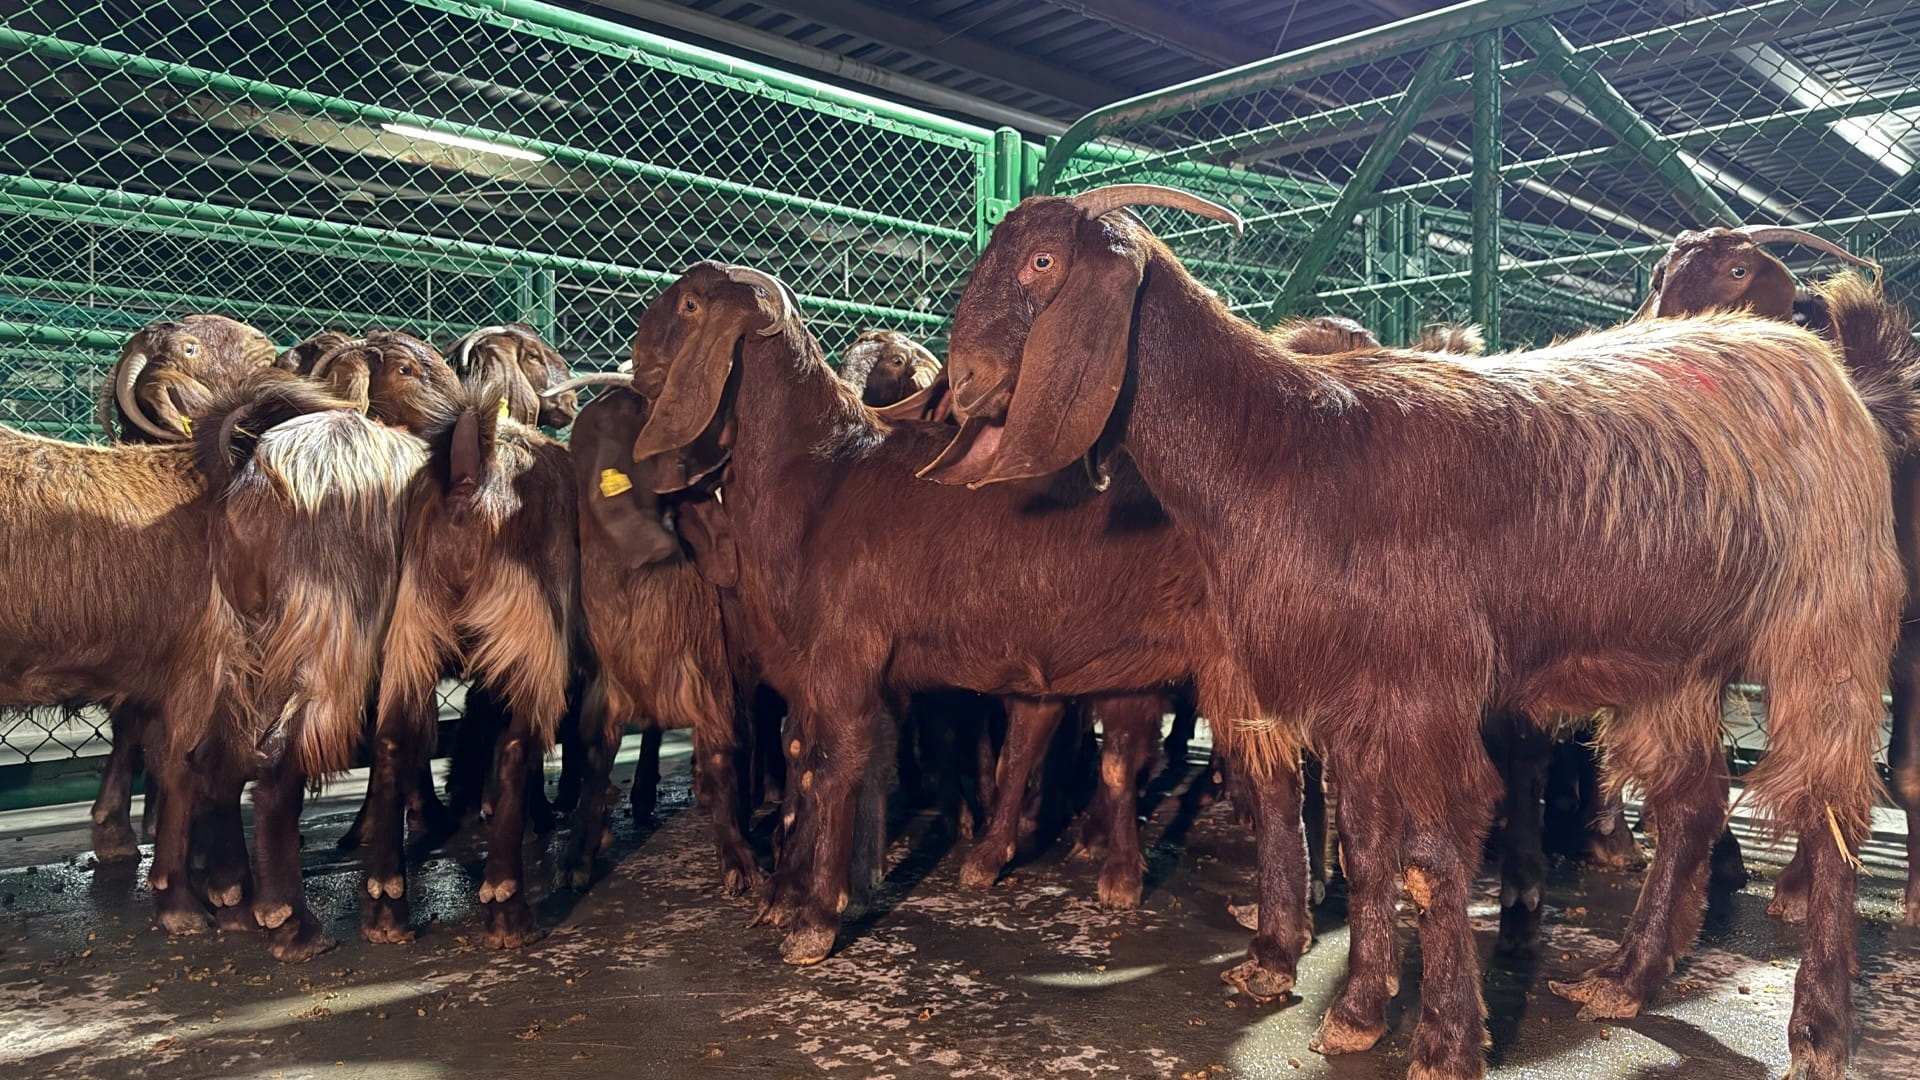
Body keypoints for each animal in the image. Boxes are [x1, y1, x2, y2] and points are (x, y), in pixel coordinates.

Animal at [4, 372, 420, 960]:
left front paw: (210, 893)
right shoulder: (207, 664)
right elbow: (191, 764)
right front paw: (191, 902)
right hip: (329, 638)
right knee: (282, 757)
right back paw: (296, 924)